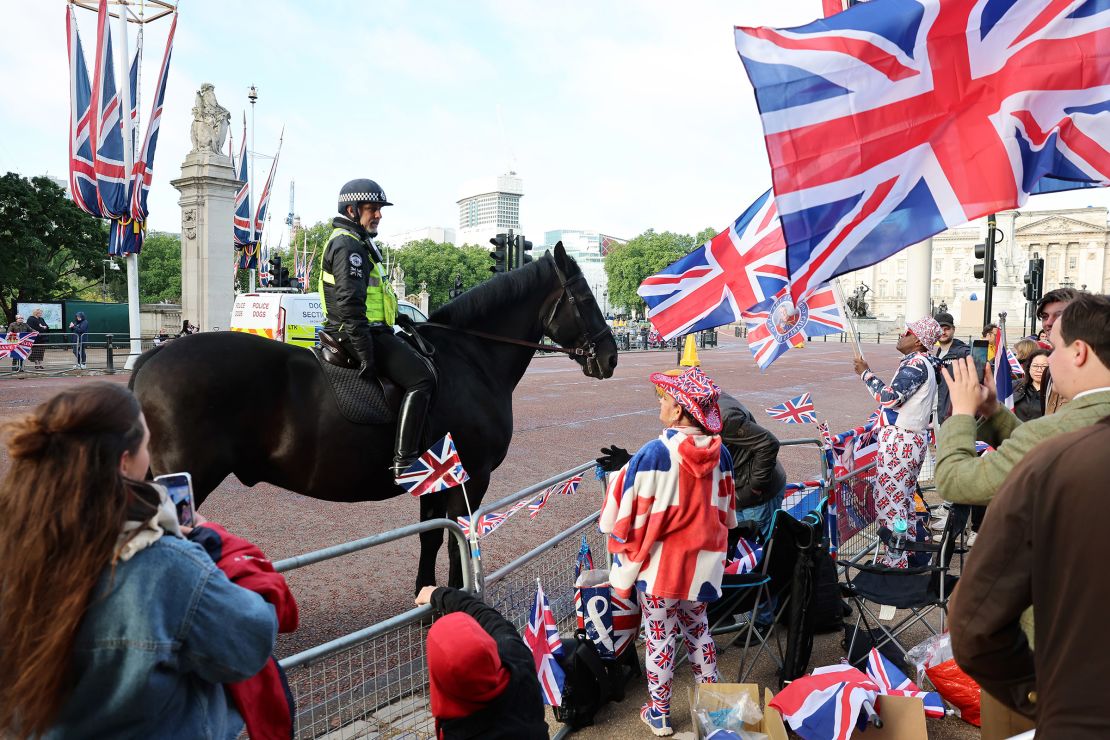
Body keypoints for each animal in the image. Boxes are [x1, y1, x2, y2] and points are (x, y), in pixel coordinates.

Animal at [130, 244, 621, 590]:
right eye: (583, 295)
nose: (611, 356)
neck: (472, 355)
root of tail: (150, 358)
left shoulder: (437, 477)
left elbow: (432, 535)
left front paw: (426, 595)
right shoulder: (470, 477)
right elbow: (460, 539)